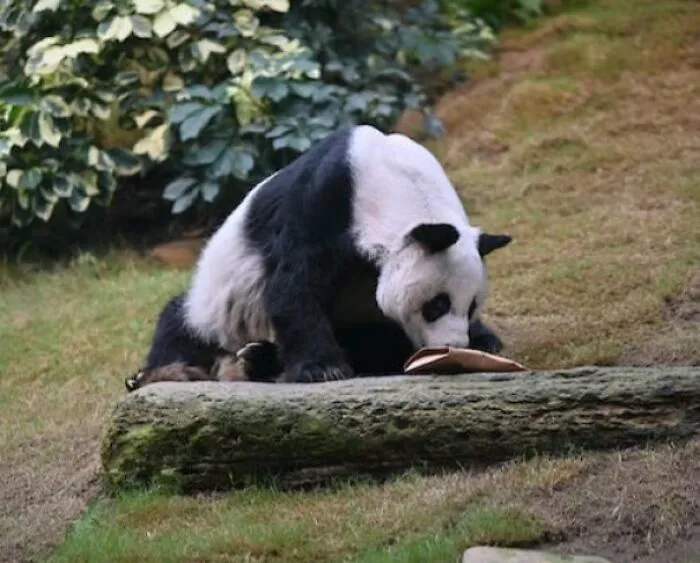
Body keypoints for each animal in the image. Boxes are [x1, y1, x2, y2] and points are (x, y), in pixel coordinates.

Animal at [125, 124, 512, 390]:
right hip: (216, 309)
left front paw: (482, 339)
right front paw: (323, 369)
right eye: (436, 304)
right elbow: (295, 283)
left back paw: (260, 358)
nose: (453, 345)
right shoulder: (327, 200)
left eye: (471, 306)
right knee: (180, 325)